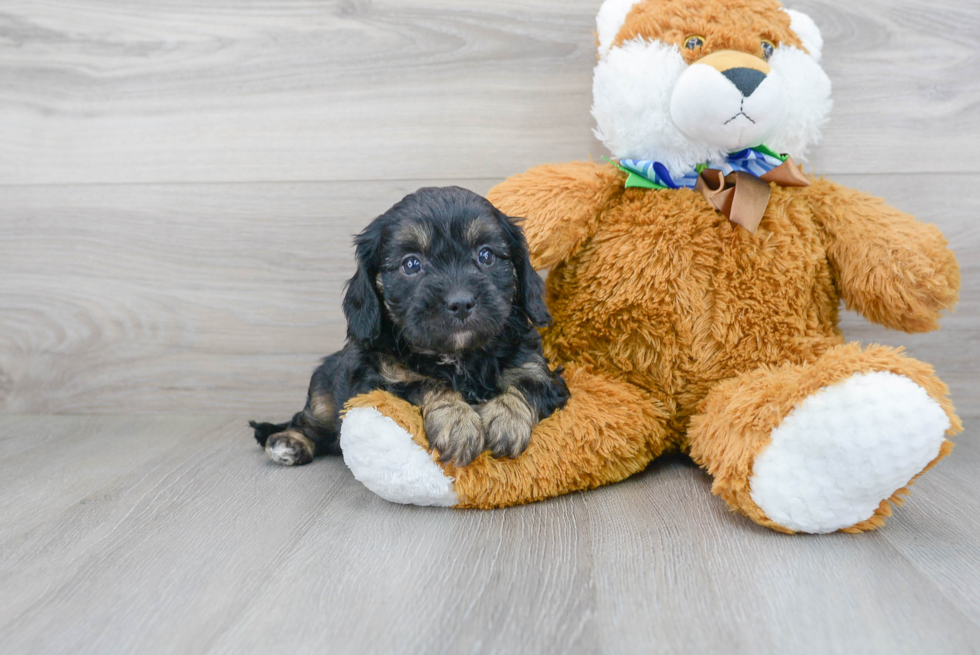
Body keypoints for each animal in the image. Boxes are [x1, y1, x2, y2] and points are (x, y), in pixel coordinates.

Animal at [253, 187, 572, 468]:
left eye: (486, 256)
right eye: (411, 264)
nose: (460, 303)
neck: (460, 356)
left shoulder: (539, 369)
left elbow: (528, 382)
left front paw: (507, 419)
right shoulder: (377, 381)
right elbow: (424, 383)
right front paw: (458, 422)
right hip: (323, 392)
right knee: (309, 421)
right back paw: (289, 442)